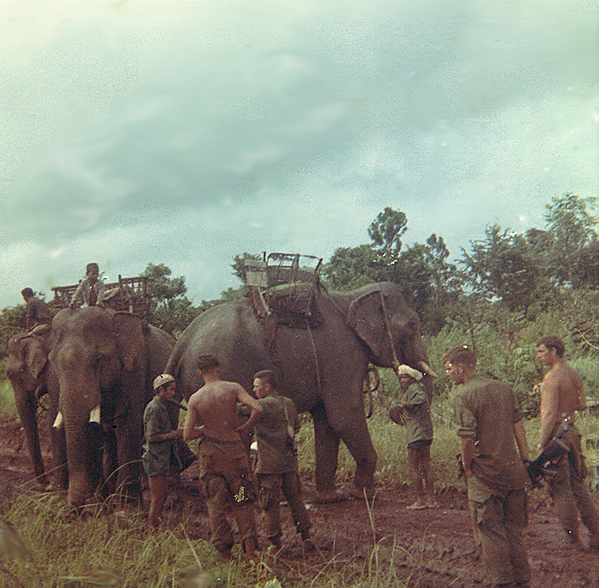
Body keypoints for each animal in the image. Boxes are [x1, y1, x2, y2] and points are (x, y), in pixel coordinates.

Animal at [47, 306, 175, 508]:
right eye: (52, 362)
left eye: (98, 360)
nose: (74, 509)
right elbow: (95, 430)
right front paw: (99, 502)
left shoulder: (135, 366)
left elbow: (127, 423)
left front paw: (126, 505)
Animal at [166, 282, 434, 500]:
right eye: (412, 325)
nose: (398, 410)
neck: (351, 296)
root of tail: (181, 341)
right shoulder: (342, 354)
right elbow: (344, 416)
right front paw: (361, 494)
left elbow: (326, 421)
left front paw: (330, 497)